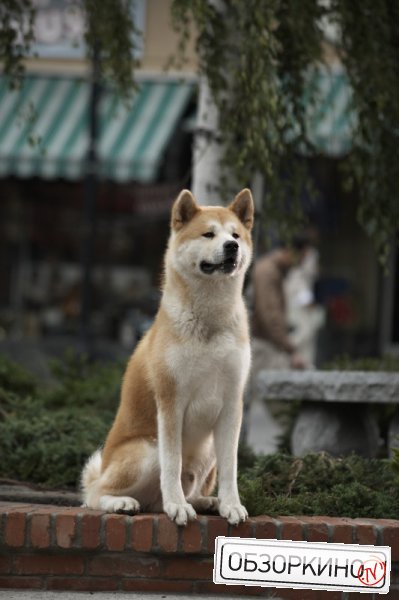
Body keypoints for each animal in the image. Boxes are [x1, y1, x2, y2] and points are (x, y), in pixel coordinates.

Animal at [81, 189, 255, 524]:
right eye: (209, 234)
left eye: (235, 235)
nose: (232, 246)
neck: (209, 321)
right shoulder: (171, 401)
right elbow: (172, 464)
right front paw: (177, 506)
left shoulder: (232, 404)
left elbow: (231, 467)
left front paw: (231, 504)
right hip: (147, 450)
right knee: (94, 494)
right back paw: (124, 503)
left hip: (207, 451)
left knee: (182, 492)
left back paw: (206, 502)